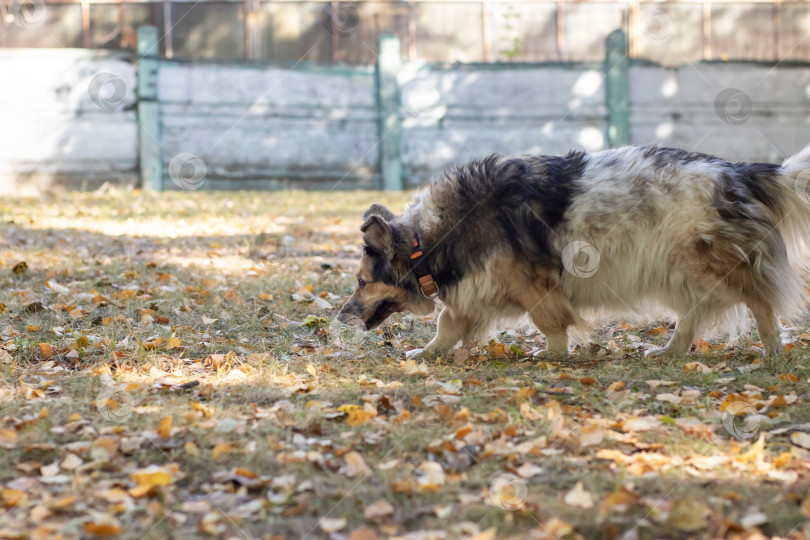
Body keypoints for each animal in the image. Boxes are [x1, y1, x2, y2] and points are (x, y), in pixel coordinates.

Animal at [334, 143, 808, 356]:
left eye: (361, 282)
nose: (339, 317)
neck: (426, 242)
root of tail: (739, 172)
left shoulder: (534, 286)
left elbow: (549, 323)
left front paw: (554, 354)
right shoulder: (476, 290)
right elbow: (448, 325)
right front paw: (430, 353)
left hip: (707, 265)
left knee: (761, 303)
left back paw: (772, 349)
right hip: (682, 272)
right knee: (692, 317)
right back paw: (670, 351)